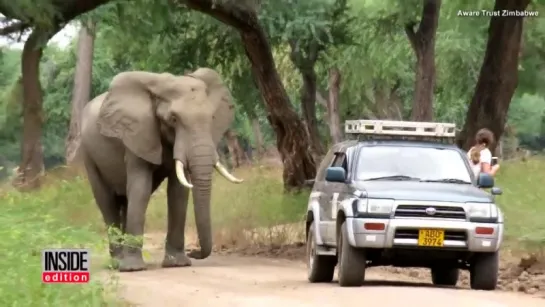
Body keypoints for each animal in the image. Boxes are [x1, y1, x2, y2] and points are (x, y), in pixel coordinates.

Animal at [79, 67, 243, 272]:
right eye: (173, 119)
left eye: (212, 118)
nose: (194, 252)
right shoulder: (136, 135)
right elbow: (140, 189)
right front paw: (133, 269)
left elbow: (178, 192)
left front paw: (178, 264)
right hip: (88, 154)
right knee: (107, 201)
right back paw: (117, 263)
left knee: (124, 201)